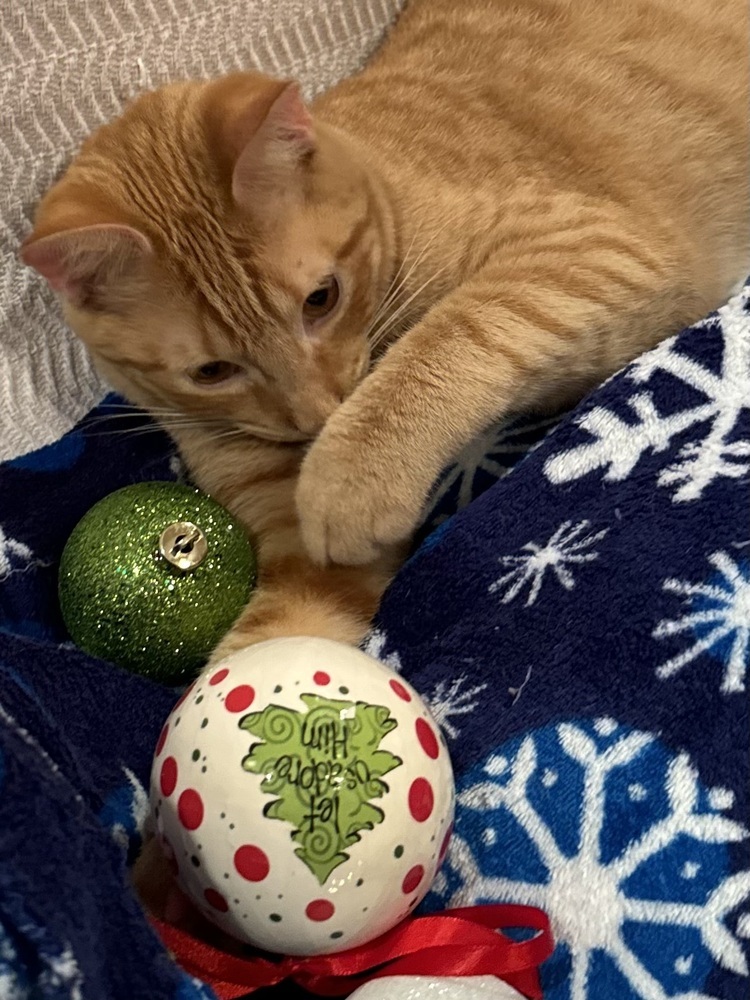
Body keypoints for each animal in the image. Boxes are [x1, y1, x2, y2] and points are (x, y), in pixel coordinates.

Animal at [20, 0, 748, 668]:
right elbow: (276, 644)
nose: (318, 416)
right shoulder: (296, 559)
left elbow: (454, 334)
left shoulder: (597, 248)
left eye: (321, 300)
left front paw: (352, 474)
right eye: (212, 372)